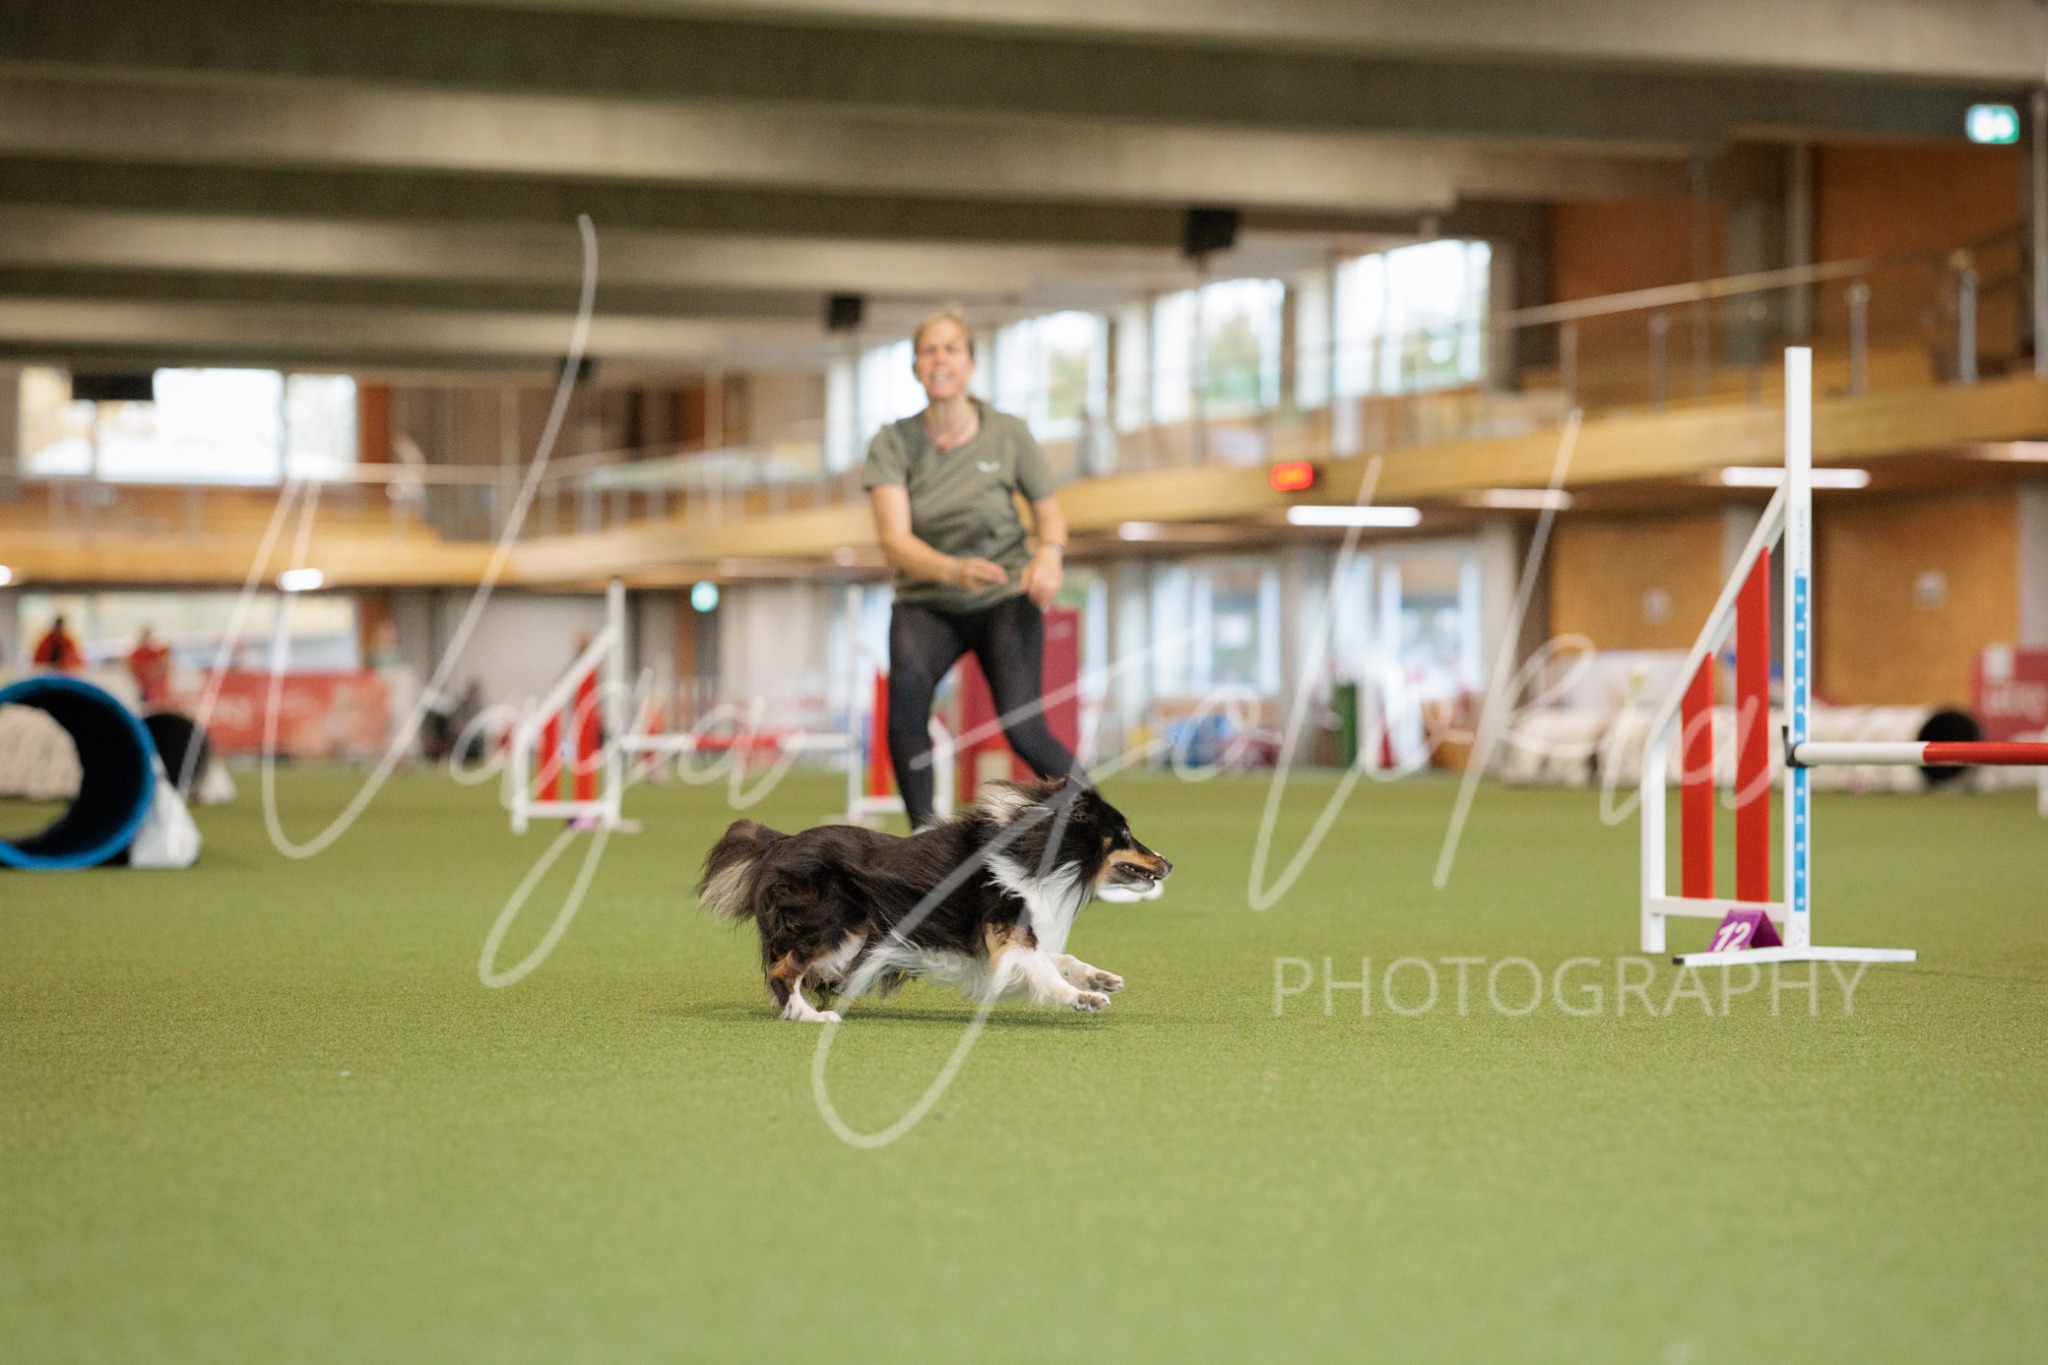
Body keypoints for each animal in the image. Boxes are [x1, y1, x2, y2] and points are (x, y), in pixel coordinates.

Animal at [697, 778, 1170, 1022]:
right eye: (1124, 834)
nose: (1167, 863)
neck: (1034, 856)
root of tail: (780, 843)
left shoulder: (1001, 949)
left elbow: (1059, 959)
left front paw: (1100, 979)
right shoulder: (1005, 935)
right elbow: (1046, 971)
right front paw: (1084, 999)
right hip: (844, 925)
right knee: (782, 971)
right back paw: (811, 1015)